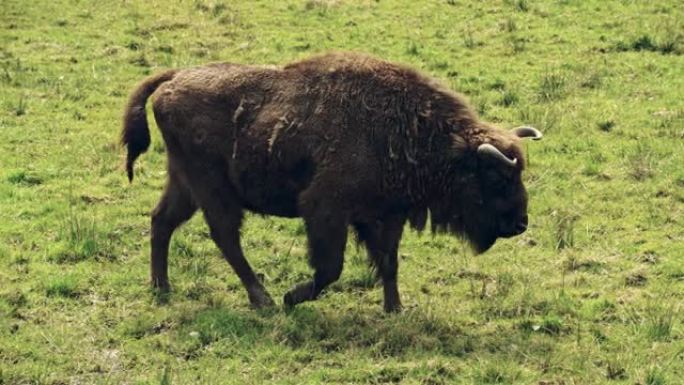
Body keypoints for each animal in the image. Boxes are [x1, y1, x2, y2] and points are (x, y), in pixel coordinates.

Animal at [121, 51, 540, 312]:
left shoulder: (386, 217)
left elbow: (389, 263)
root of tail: (175, 78)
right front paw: (293, 297)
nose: (521, 223)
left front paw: (396, 309)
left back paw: (162, 286)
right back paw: (263, 300)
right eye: (497, 178)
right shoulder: (325, 210)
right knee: (224, 236)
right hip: (213, 190)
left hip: (185, 184)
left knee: (162, 221)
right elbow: (330, 268)